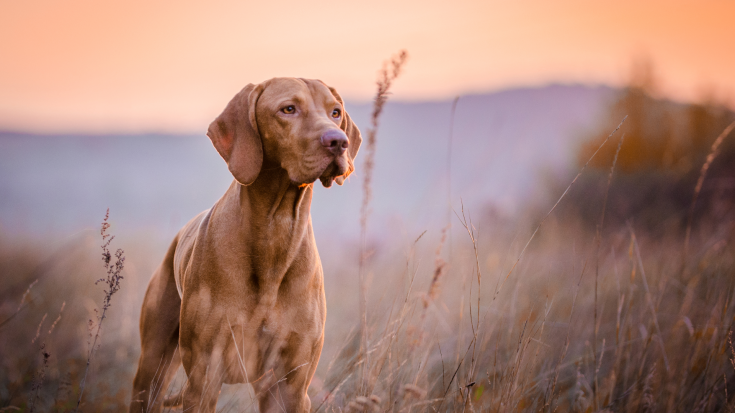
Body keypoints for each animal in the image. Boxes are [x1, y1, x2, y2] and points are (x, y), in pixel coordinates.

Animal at [131, 78, 364, 412]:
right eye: (288, 109)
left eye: (335, 112)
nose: (339, 141)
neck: (275, 231)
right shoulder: (204, 378)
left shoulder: (290, 386)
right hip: (152, 367)